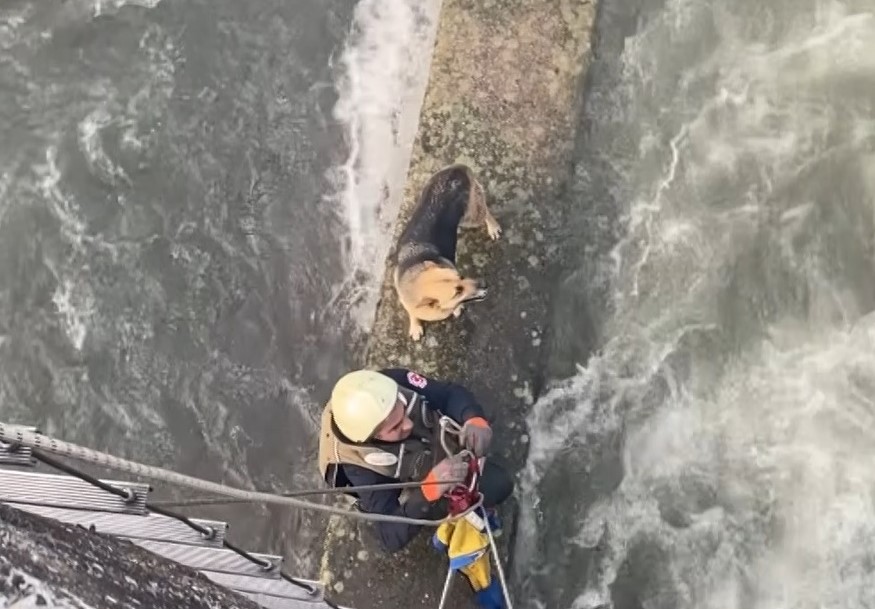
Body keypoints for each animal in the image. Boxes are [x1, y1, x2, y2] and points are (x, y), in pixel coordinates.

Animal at [394, 164, 504, 340]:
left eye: (460, 276)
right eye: (457, 292)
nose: (484, 283)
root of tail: (456, 168)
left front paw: (457, 309)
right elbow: (412, 312)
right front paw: (415, 324)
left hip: (471, 217)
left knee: (485, 212)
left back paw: (492, 226)